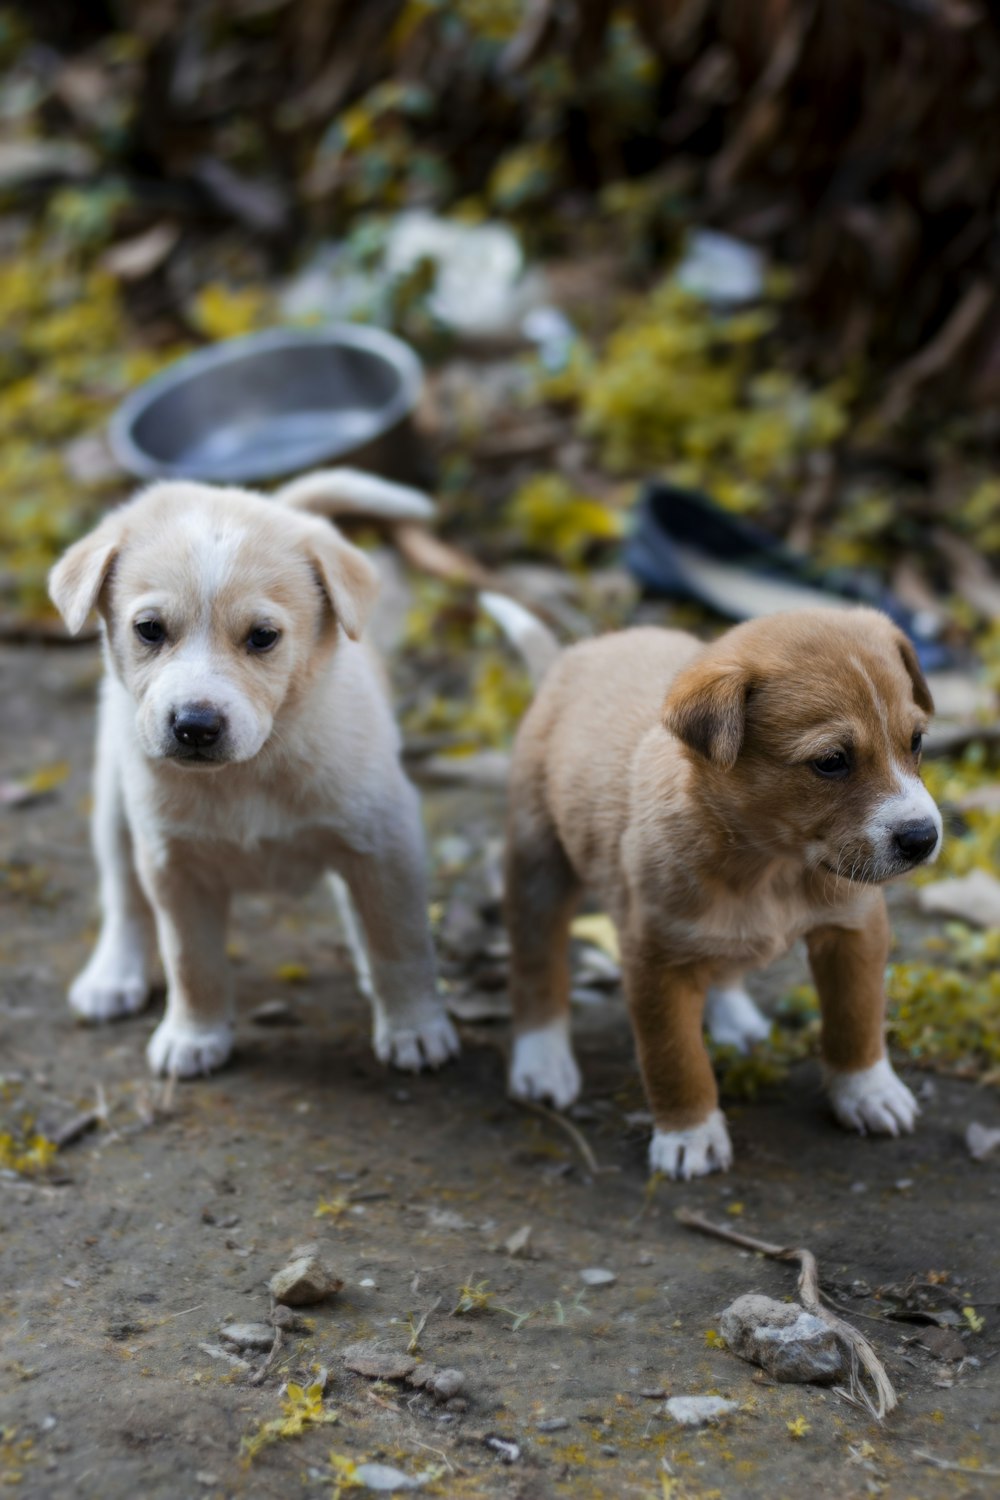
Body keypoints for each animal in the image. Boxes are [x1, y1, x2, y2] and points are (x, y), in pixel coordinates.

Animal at [49, 468, 461, 1080]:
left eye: (263, 637)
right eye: (149, 629)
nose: (195, 726)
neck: (250, 770)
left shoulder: (386, 836)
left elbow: (400, 941)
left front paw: (416, 1027)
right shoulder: (173, 865)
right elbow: (191, 961)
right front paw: (193, 1036)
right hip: (116, 806)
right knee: (123, 896)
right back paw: (112, 976)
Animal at [488, 603, 941, 1176]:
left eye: (916, 741)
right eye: (831, 761)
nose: (922, 837)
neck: (772, 869)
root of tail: (573, 655)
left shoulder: (854, 929)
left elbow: (856, 1017)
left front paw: (867, 1090)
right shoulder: (655, 960)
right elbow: (675, 1058)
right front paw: (689, 1134)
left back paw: (736, 1018)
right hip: (537, 864)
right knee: (536, 967)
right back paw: (543, 1060)